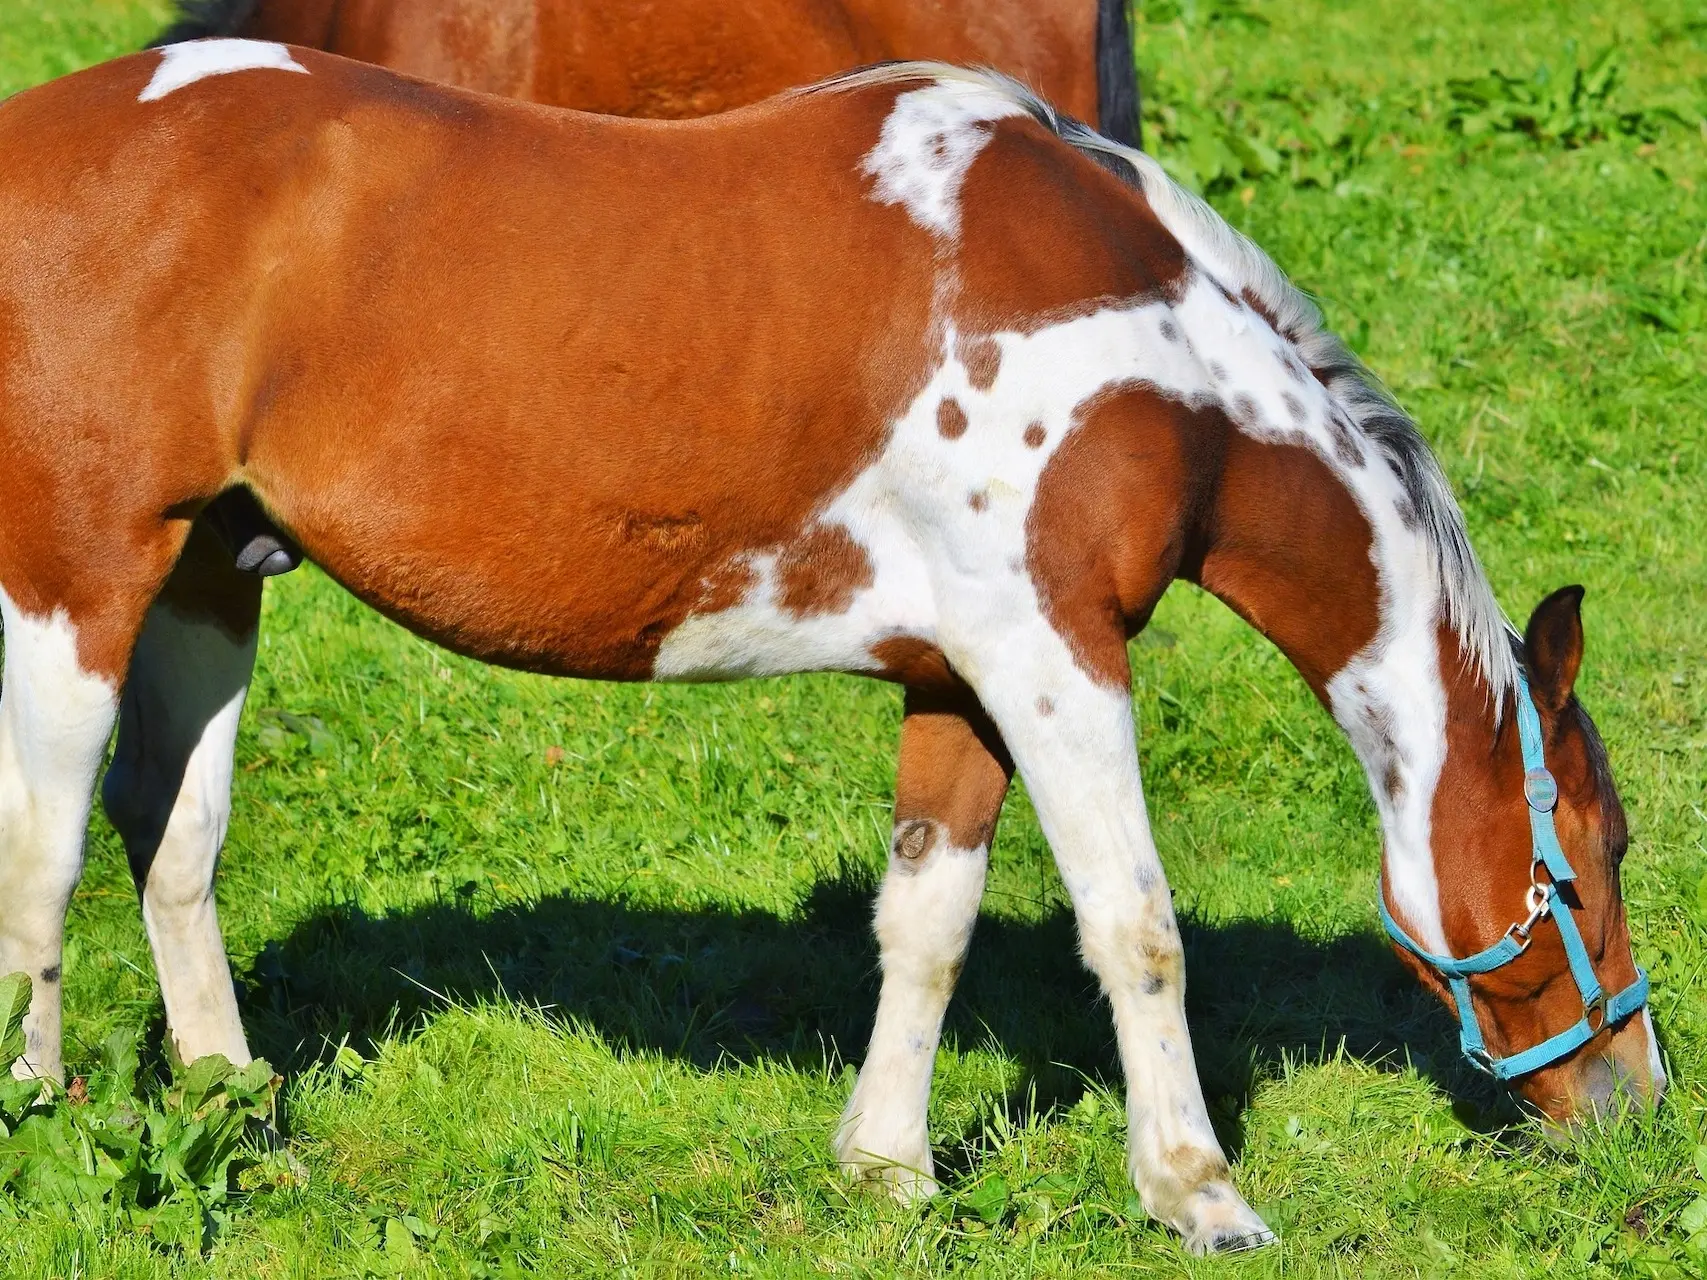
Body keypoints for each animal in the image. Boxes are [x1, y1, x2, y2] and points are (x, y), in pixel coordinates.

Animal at [0, 45, 1659, 1256]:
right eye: (1589, 861)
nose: (1635, 1099)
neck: (1156, 355)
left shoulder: (959, 679)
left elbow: (925, 923)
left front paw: (886, 1168)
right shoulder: (1056, 660)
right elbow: (1135, 928)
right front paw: (1196, 1193)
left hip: (212, 570)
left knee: (174, 833)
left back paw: (232, 1099)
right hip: (77, 578)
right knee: (46, 851)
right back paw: (40, 1111)